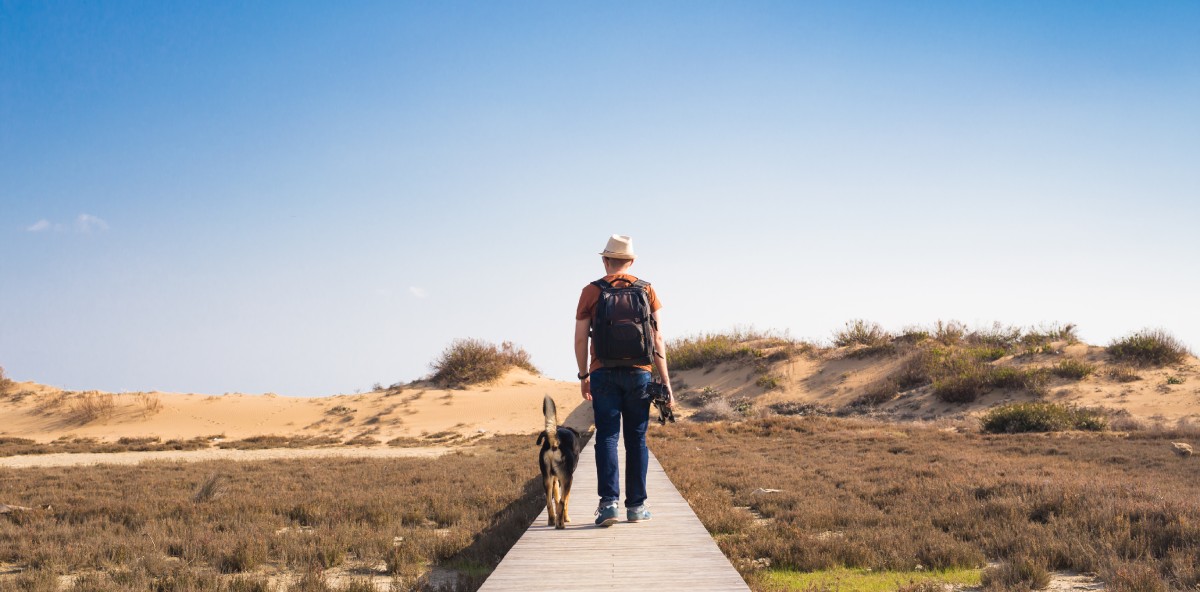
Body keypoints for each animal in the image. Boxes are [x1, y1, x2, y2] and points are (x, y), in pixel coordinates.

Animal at [537, 393, 578, 528]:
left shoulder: (555, 479)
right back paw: (560, 524)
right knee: (562, 502)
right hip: (568, 479)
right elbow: (564, 502)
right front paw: (566, 518)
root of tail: (554, 442)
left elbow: (556, 497)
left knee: (550, 503)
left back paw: (551, 520)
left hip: (547, 479)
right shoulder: (565, 480)